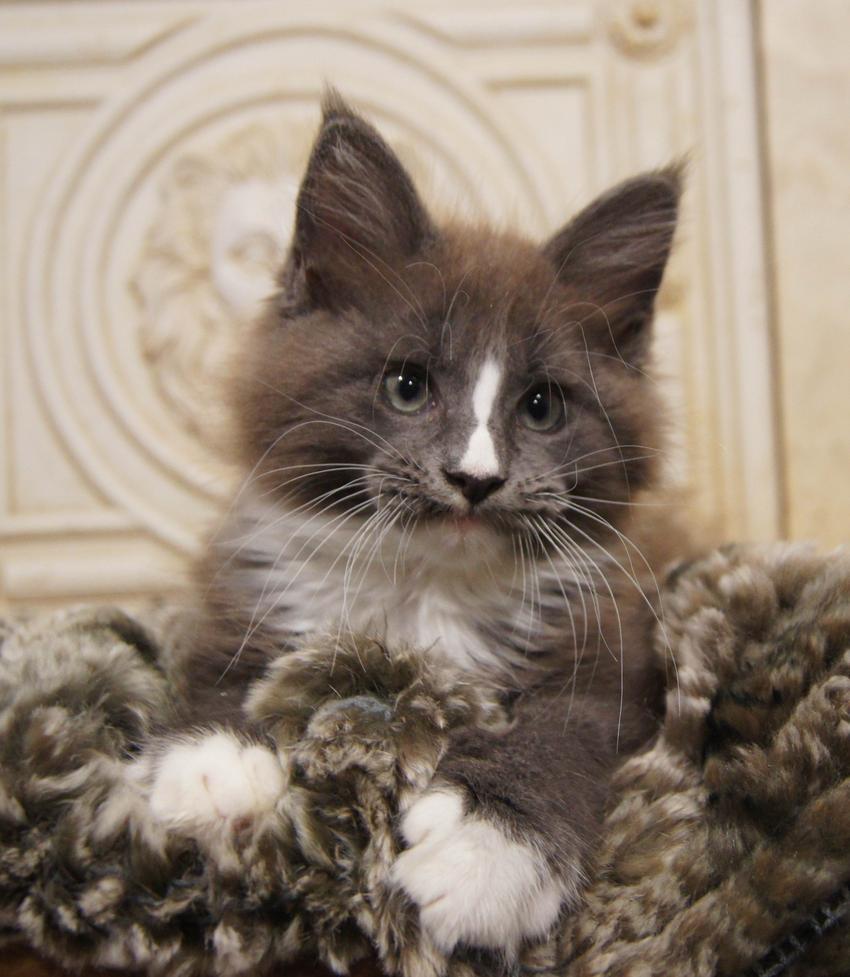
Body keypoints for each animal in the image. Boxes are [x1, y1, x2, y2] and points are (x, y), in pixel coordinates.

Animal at [144, 95, 676, 956]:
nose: (475, 478)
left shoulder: (612, 639)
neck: (422, 586)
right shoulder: (249, 575)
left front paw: (490, 852)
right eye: (407, 386)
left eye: (542, 406)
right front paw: (213, 760)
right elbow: (217, 655)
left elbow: (564, 730)